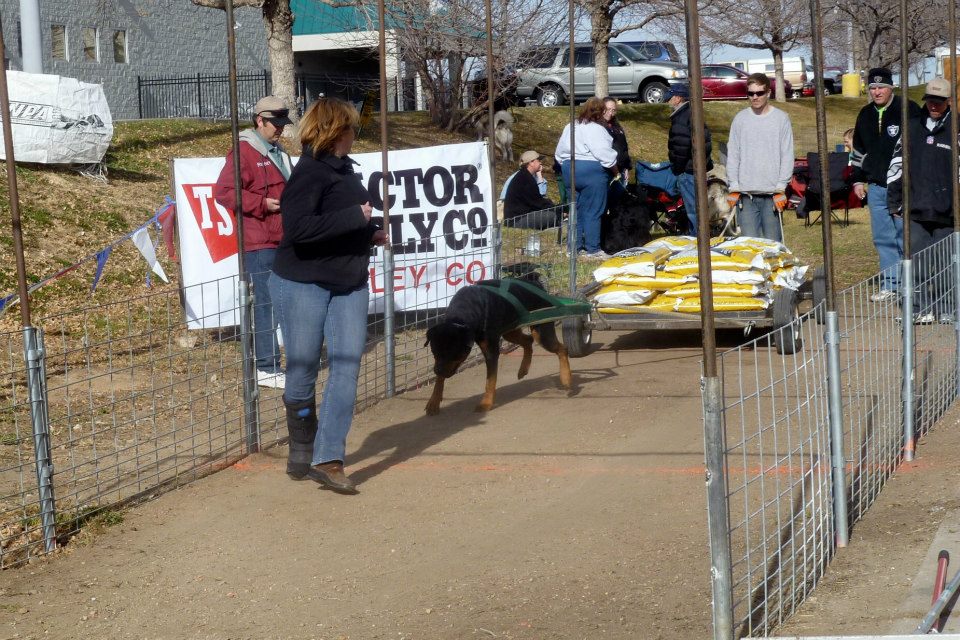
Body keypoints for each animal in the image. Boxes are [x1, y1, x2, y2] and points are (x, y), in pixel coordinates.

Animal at [422, 276, 568, 416]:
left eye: (454, 354)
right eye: (434, 352)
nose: (437, 371)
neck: (461, 316)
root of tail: (537, 284)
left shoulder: (490, 351)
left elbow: (490, 380)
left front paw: (486, 403)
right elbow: (440, 379)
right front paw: (434, 401)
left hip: (541, 331)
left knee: (561, 348)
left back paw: (566, 378)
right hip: (511, 330)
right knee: (528, 340)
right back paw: (523, 369)